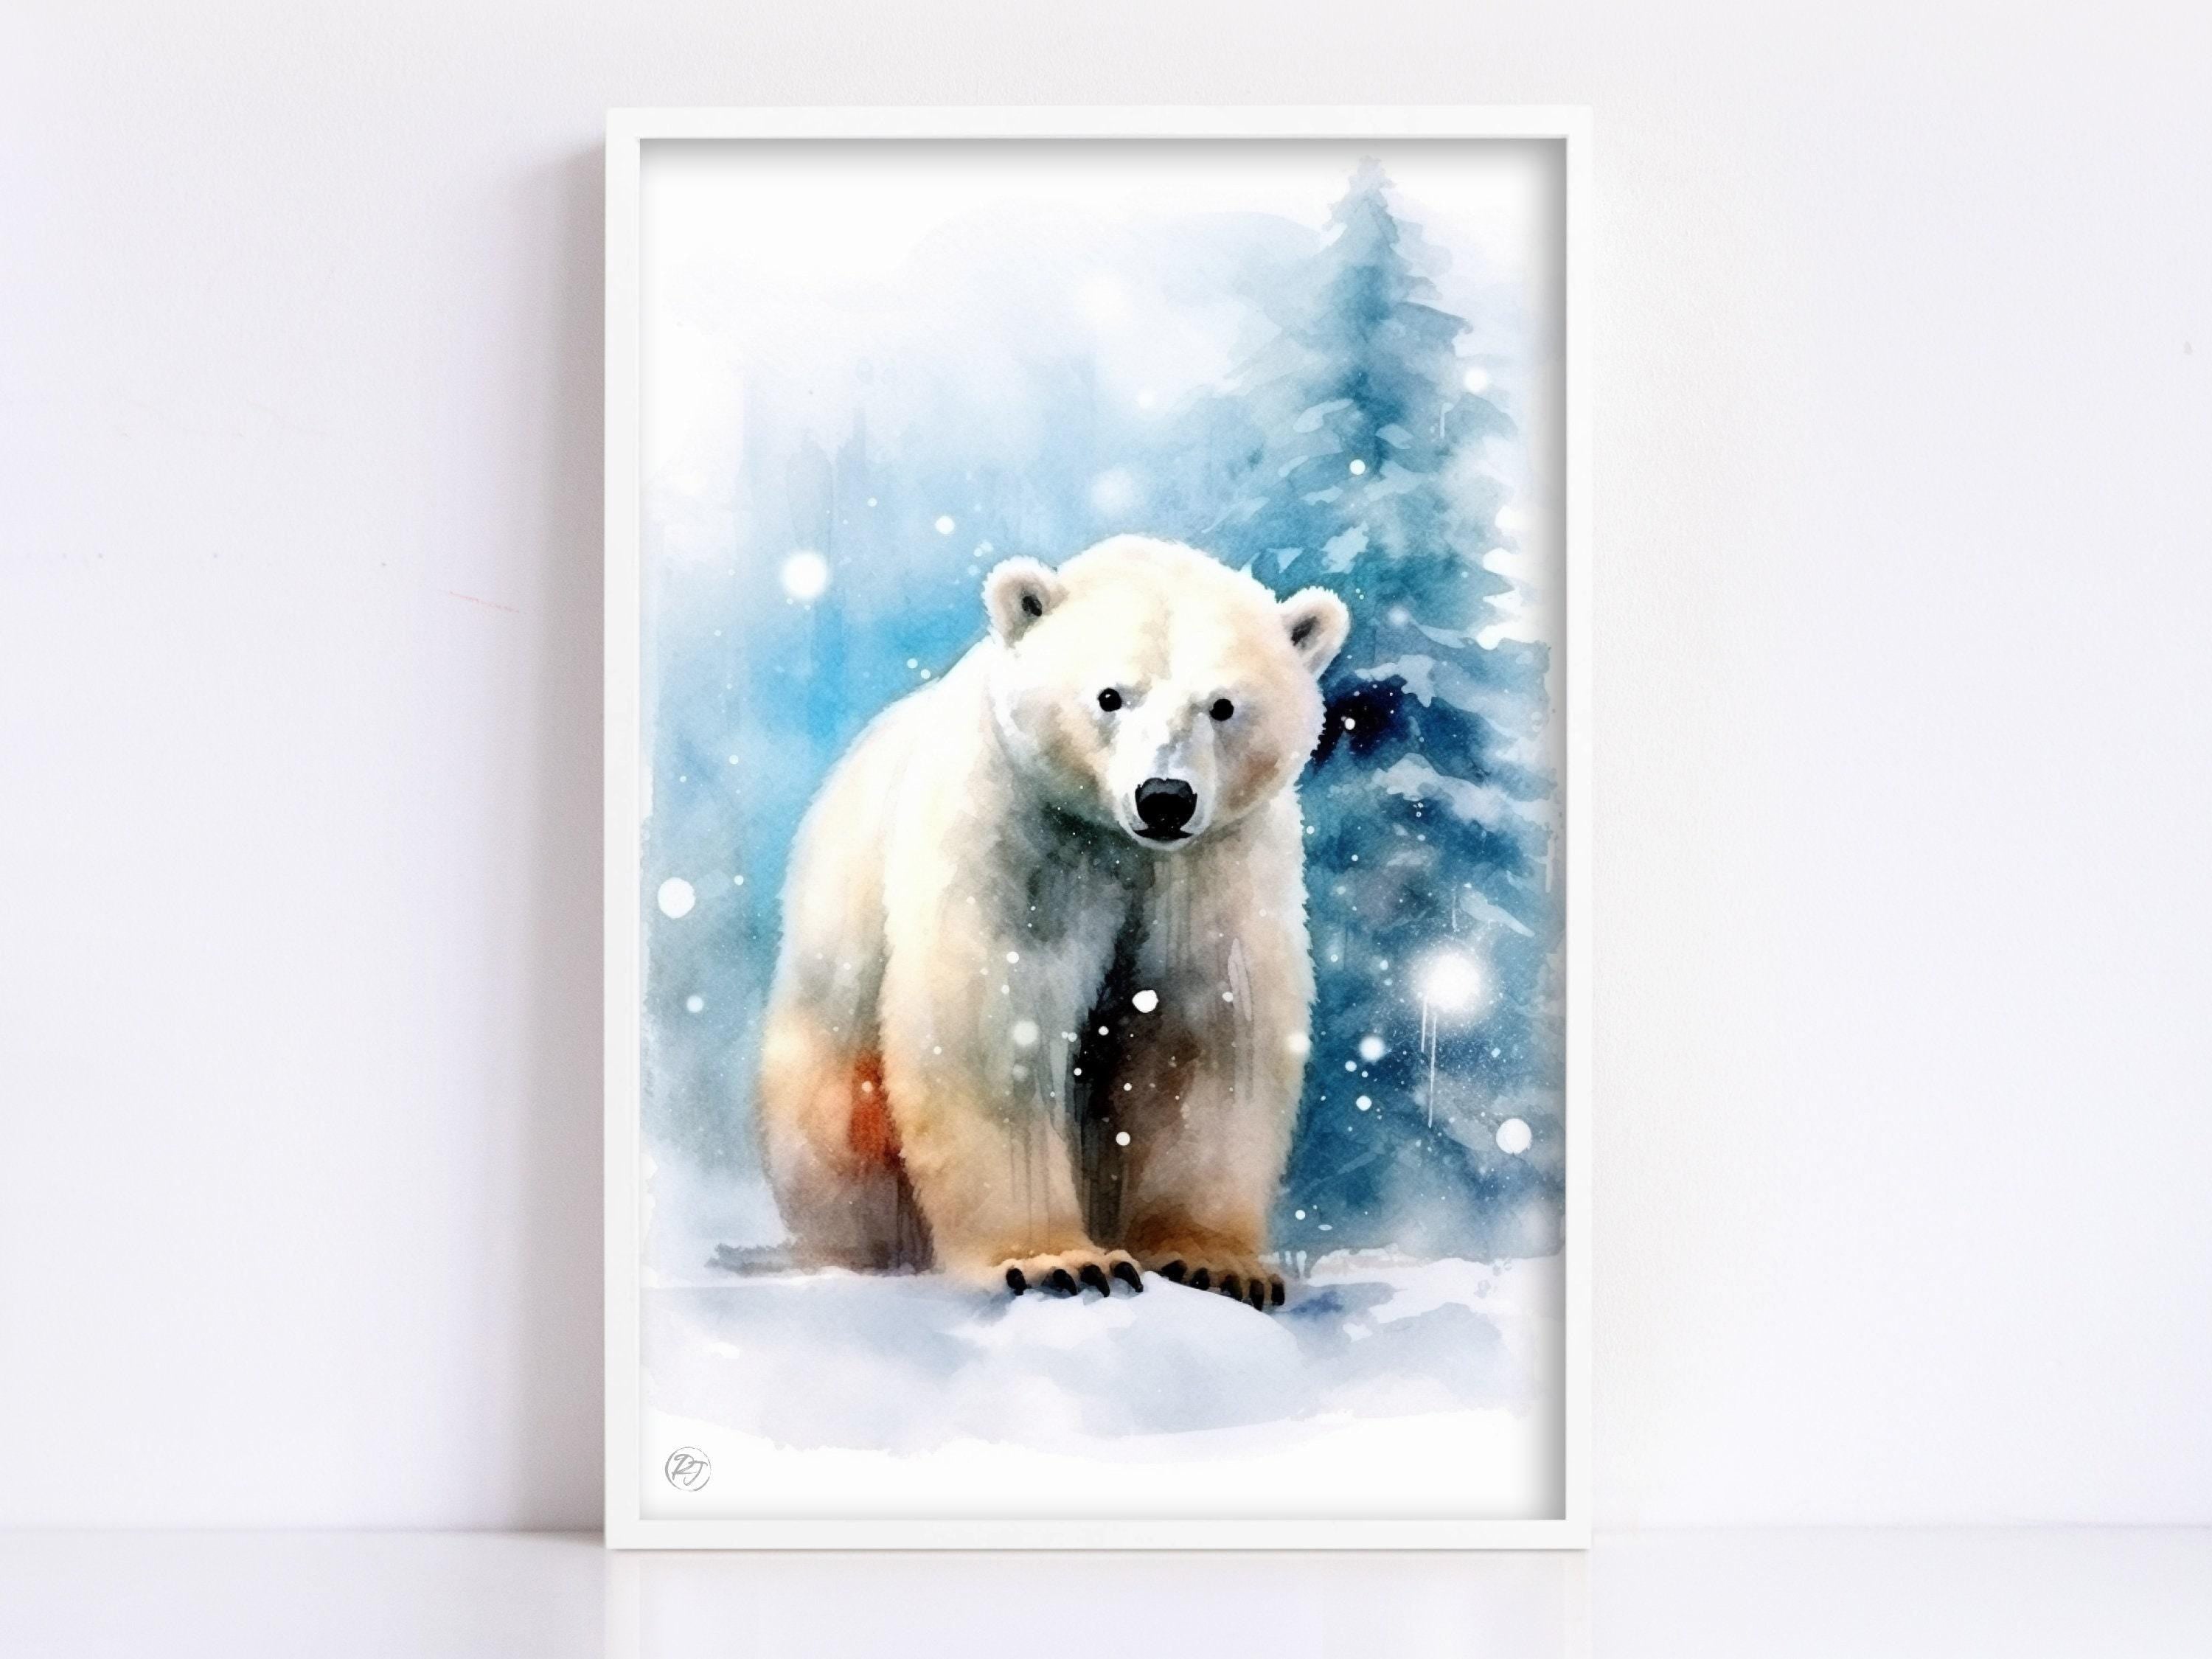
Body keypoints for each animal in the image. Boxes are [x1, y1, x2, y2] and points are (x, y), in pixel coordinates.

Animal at [755, 534, 1350, 1310]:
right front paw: (1059, 1262)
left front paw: (1214, 1262)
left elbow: (1201, 1033)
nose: (1164, 797)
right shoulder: (1022, 834)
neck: (1118, 841)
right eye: (1110, 696)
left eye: (1222, 705)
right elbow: (999, 1021)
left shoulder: (1213, 867)